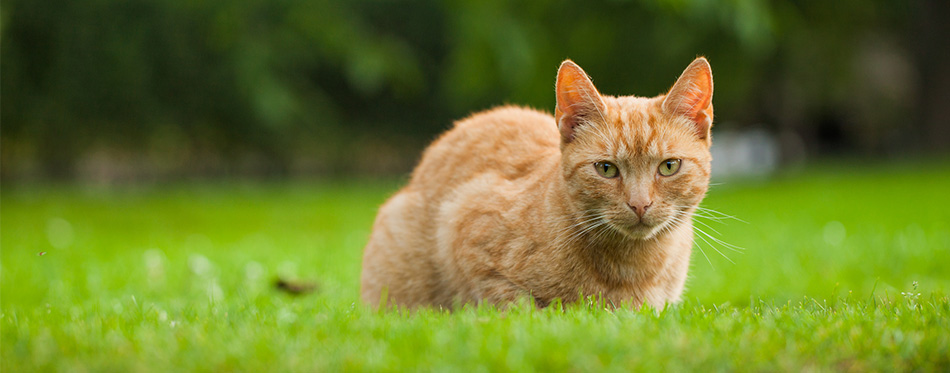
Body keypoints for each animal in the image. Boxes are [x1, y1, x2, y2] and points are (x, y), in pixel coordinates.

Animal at [362, 57, 712, 308]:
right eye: (606, 169)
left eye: (668, 166)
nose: (640, 204)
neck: (633, 267)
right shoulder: (462, 223)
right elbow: (518, 306)